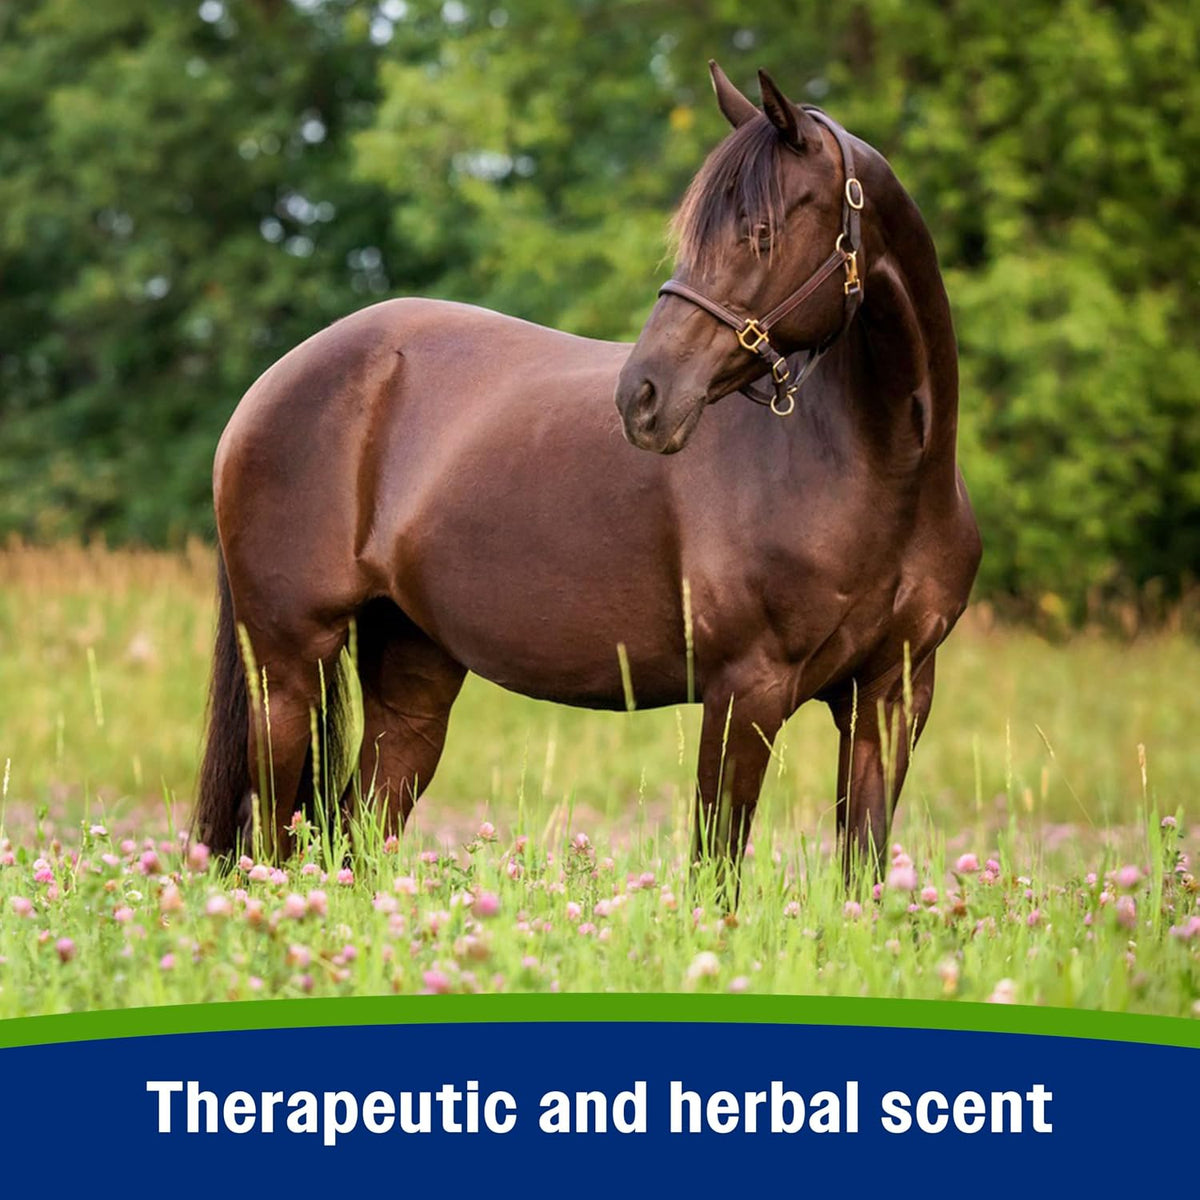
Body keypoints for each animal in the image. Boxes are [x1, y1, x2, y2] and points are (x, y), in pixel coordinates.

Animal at [194, 62, 981, 892]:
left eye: (761, 233)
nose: (645, 396)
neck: (883, 471)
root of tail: (270, 386)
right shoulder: (748, 689)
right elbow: (716, 871)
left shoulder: (892, 697)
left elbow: (863, 867)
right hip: (288, 669)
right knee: (272, 838)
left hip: (411, 677)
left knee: (359, 834)